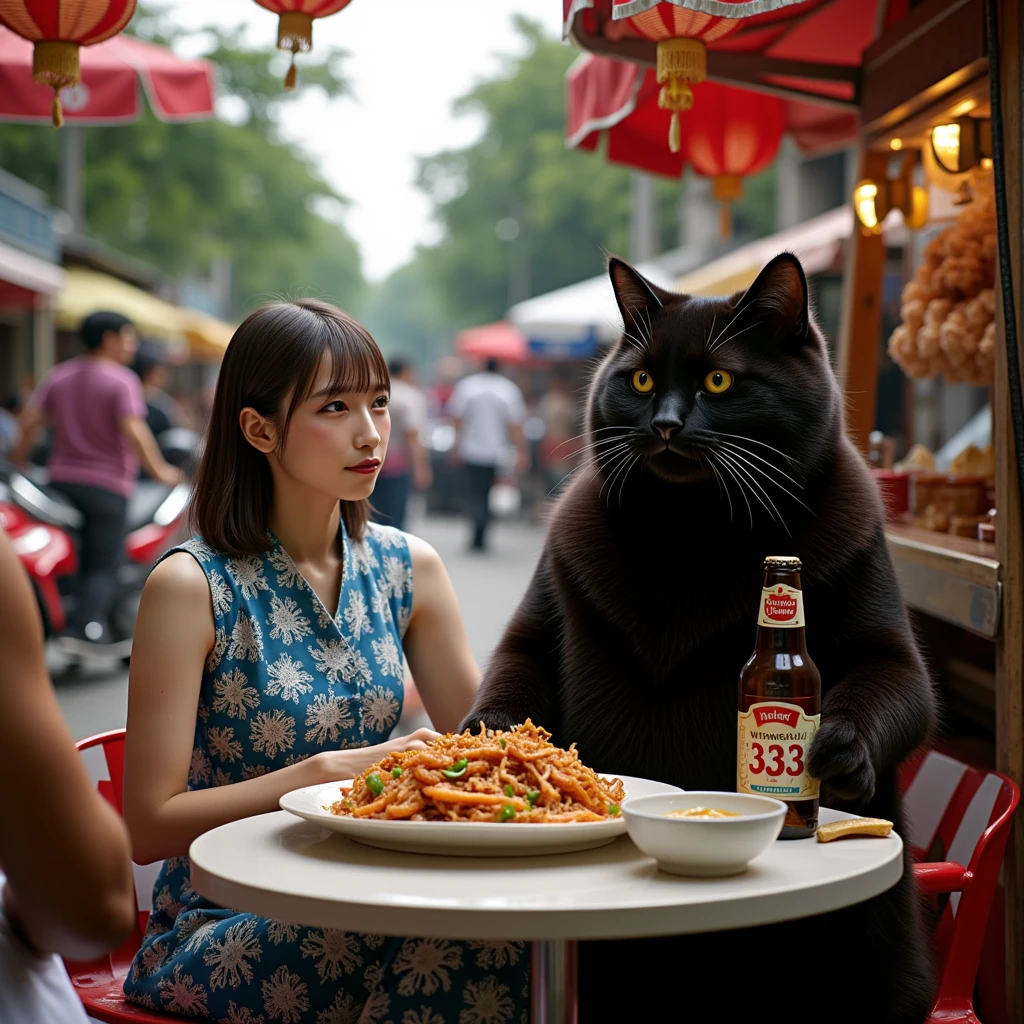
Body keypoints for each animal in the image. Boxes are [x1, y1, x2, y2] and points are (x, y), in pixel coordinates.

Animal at [462, 251, 937, 1019]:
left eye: (718, 380)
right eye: (640, 379)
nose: (663, 423)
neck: (692, 535)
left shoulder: (882, 639)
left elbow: (895, 686)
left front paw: (835, 753)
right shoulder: (538, 622)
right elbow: (516, 664)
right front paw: (489, 737)